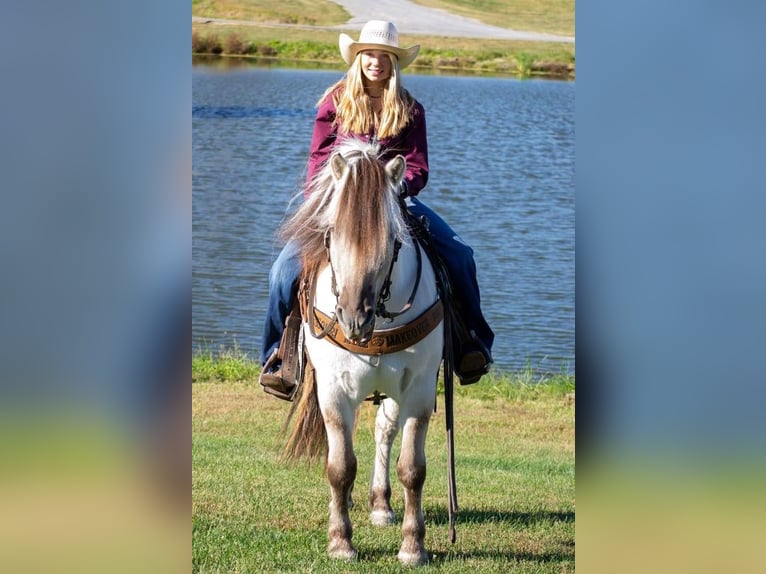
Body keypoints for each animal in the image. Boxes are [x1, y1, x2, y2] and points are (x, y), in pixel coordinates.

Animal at [282, 138, 444, 568]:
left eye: (392, 238)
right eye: (332, 232)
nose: (353, 317)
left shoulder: (419, 389)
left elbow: (412, 469)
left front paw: (413, 546)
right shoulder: (334, 390)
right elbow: (340, 467)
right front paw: (340, 542)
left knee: (384, 431)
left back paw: (380, 505)